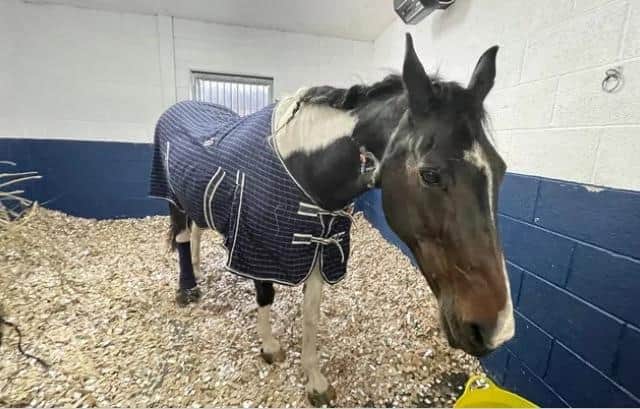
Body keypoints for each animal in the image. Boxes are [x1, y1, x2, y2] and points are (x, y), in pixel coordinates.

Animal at [149, 33, 514, 406]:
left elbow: (311, 316)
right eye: (430, 174)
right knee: (181, 237)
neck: (304, 169)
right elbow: (265, 295)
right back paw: (187, 288)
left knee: (195, 230)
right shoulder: (257, 248)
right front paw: (270, 347)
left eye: (500, 169)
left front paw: (314, 380)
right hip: (173, 198)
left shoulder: (321, 250)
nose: (497, 328)